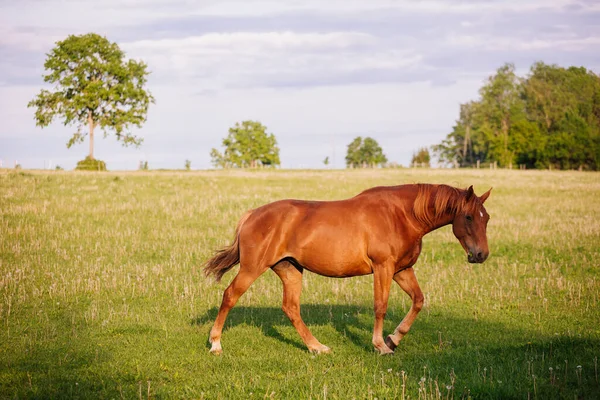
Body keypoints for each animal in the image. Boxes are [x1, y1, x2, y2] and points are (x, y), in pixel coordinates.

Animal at [204, 183, 490, 354]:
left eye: (486, 218)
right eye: (468, 216)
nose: (481, 255)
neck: (401, 215)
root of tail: (252, 215)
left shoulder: (402, 270)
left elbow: (418, 301)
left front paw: (393, 339)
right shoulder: (384, 268)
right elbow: (380, 306)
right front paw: (380, 345)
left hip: (290, 270)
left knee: (291, 308)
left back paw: (316, 347)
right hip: (252, 268)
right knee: (230, 296)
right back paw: (216, 344)